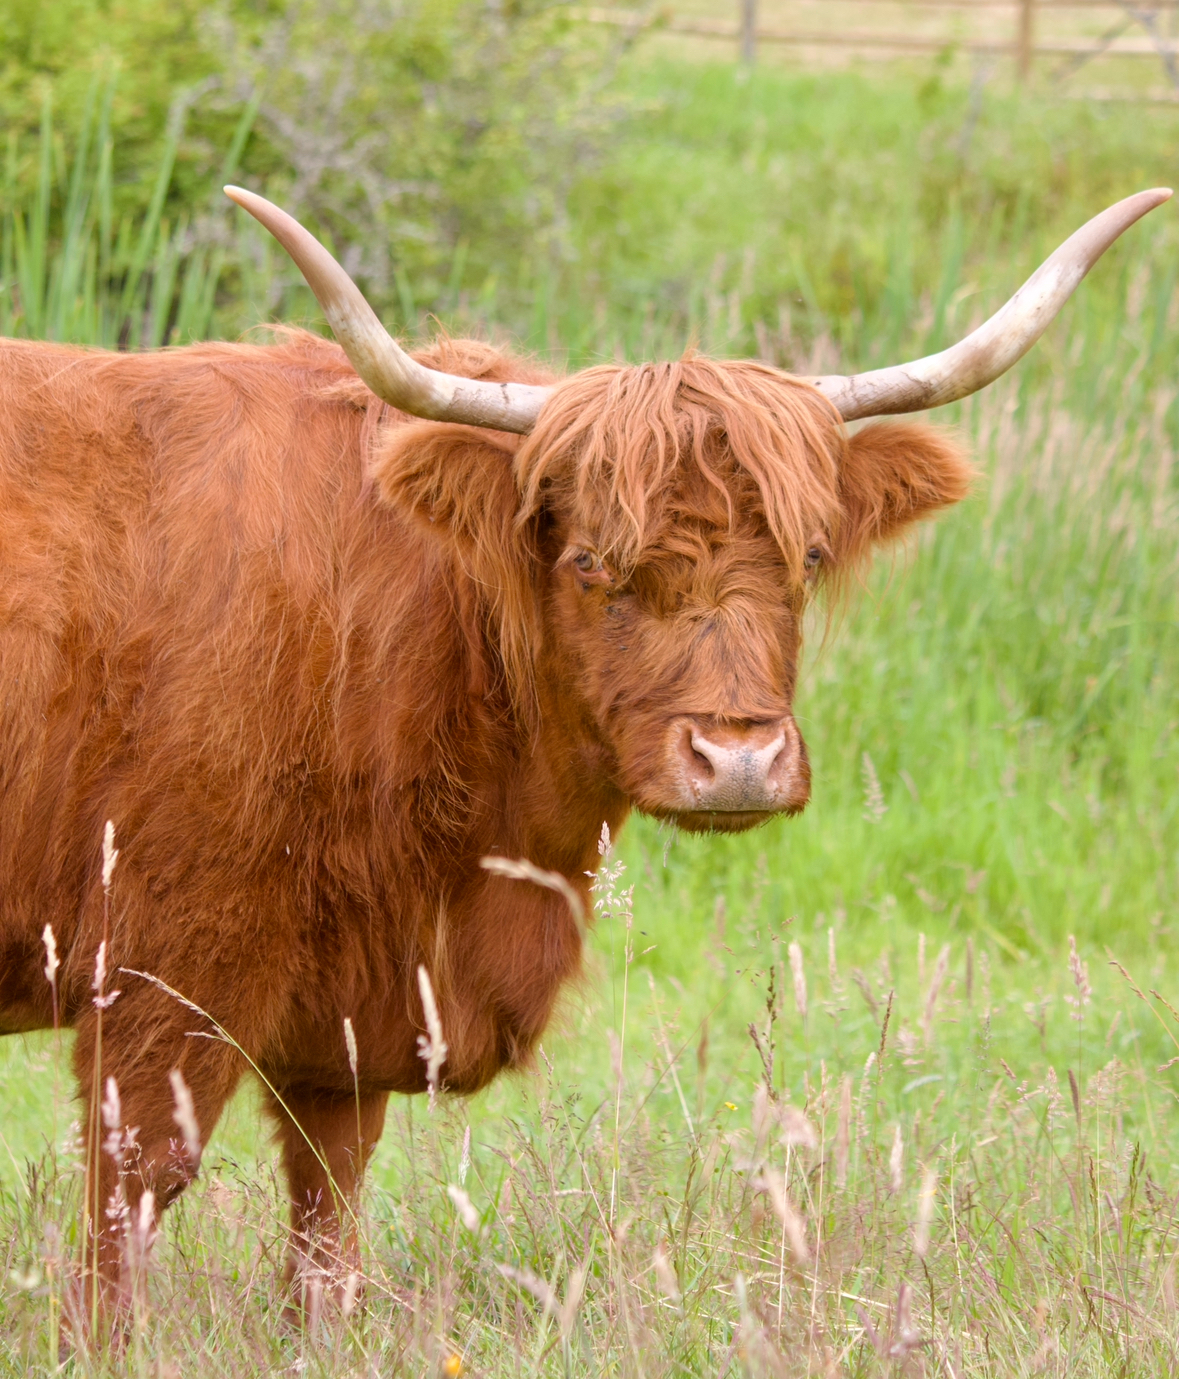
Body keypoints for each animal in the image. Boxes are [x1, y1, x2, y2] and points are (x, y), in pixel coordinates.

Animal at [0, 184, 1168, 1324]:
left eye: (809, 556)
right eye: (592, 561)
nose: (737, 759)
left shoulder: (355, 1002)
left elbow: (328, 1210)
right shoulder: (162, 959)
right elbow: (136, 1188)